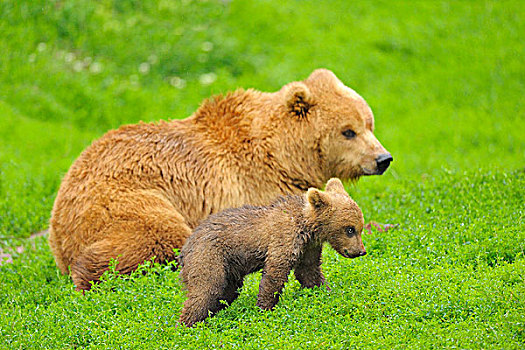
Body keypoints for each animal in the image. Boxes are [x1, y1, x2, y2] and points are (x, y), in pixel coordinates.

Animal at [49, 68, 390, 290]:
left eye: (369, 122)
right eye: (348, 131)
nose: (383, 159)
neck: (287, 154)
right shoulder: (260, 186)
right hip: (128, 200)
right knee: (157, 237)